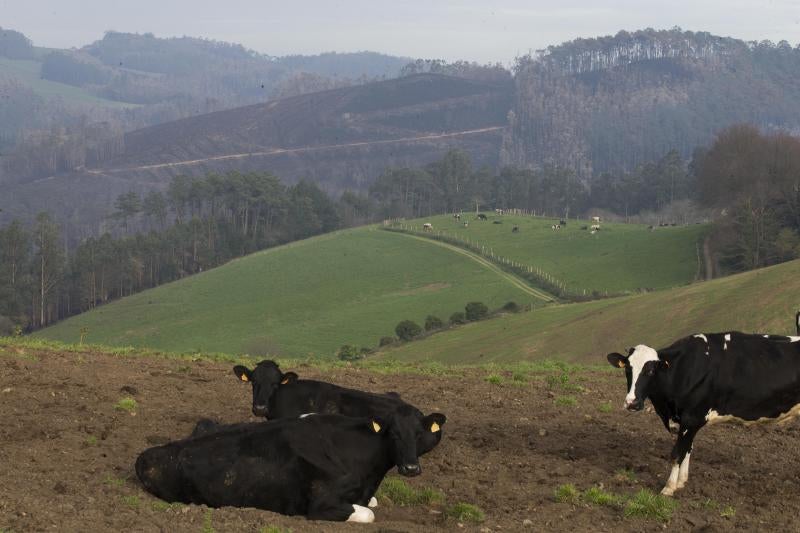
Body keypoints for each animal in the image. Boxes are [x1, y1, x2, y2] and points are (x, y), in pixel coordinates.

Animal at [140, 410, 446, 520]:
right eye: (394, 434)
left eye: (419, 434)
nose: (411, 468)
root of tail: (146, 455)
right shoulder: (322, 504)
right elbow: (368, 514)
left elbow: (372, 504)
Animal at [608, 324, 800, 494]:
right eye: (628, 369)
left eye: (650, 370)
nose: (632, 403)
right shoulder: (687, 420)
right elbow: (688, 449)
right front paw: (681, 481)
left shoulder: (692, 417)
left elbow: (677, 453)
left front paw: (669, 488)